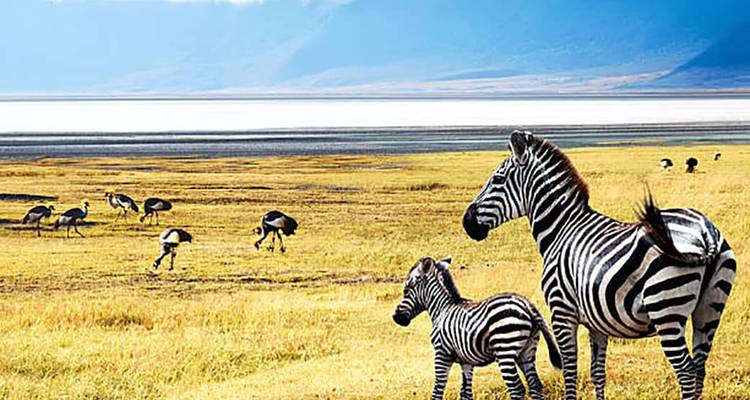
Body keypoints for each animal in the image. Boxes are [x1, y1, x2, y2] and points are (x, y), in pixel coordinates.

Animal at [392, 256, 562, 400]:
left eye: (406, 289)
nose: (396, 318)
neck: (442, 309)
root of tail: (526, 303)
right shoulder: (466, 362)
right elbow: (465, 393)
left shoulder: (442, 353)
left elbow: (438, 390)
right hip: (527, 350)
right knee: (535, 385)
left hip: (505, 350)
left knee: (517, 389)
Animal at [462, 130, 736, 400]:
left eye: (497, 180)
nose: (467, 222)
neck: (561, 229)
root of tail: (705, 231)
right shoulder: (597, 320)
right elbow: (597, 372)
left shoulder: (561, 311)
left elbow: (570, 371)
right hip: (710, 308)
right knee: (699, 367)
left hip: (666, 309)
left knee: (687, 372)